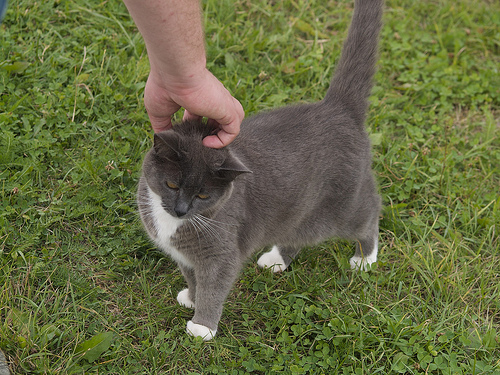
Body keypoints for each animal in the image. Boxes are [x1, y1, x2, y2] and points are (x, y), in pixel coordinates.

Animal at [137, 0, 382, 342]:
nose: (181, 209)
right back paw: (275, 259)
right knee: (298, 232)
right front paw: (191, 297)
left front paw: (202, 327)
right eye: (172, 185)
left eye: (203, 195)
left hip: (342, 203)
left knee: (369, 211)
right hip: (298, 211)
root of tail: (338, 108)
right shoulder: (183, 255)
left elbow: (214, 285)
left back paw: (365, 258)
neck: (173, 223)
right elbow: (192, 275)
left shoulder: (221, 251)